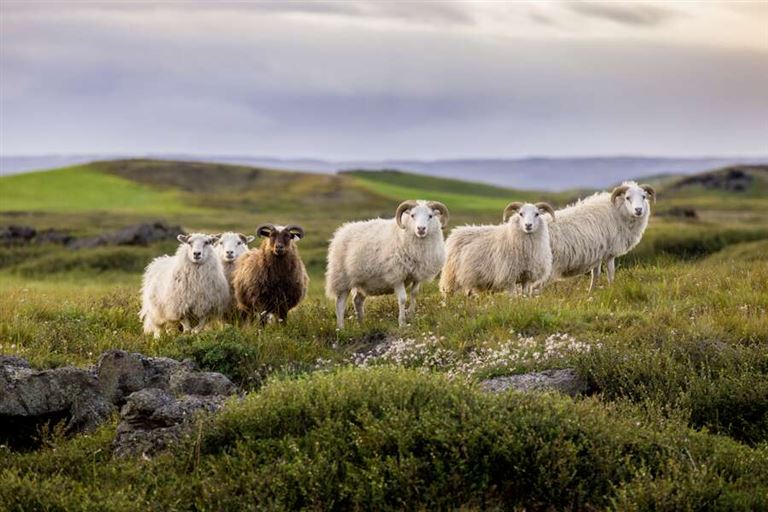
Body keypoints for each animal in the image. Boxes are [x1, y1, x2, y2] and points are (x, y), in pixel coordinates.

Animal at [326, 200, 450, 328]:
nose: (421, 229)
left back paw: (361, 324)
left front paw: (411, 315)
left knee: (357, 300)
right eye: (412, 215)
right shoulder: (397, 275)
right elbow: (402, 299)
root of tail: (341, 231)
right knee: (340, 304)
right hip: (341, 278)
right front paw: (402, 323)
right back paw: (341, 328)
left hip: (363, 281)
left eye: (430, 216)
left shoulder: (417, 275)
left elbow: (414, 294)